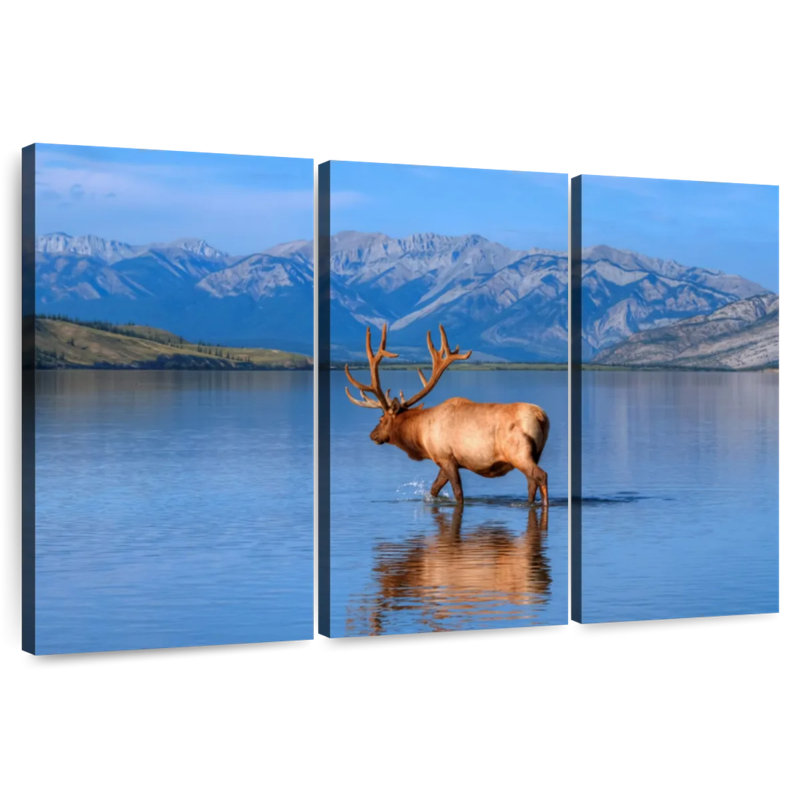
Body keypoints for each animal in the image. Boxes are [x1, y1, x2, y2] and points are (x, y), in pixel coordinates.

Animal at [344, 323, 550, 505]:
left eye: (381, 418)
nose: (373, 435)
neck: (420, 434)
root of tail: (541, 417)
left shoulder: (445, 456)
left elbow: (458, 494)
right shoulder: (448, 461)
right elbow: (434, 489)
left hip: (518, 453)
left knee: (541, 476)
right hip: (536, 453)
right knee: (531, 483)